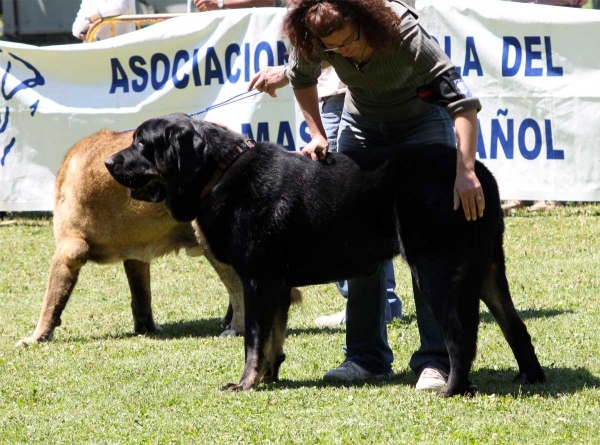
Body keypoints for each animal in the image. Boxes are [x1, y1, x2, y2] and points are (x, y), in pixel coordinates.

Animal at [105, 112, 548, 396]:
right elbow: (272, 338)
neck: (219, 172)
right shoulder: (276, 285)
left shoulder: (256, 280)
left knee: (460, 337)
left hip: (434, 272)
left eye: (142, 143)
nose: (109, 161)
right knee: (515, 325)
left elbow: (253, 340)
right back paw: (530, 378)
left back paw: (451, 390)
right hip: (488, 268)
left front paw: (245, 384)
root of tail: (476, 175)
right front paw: (268, 379)